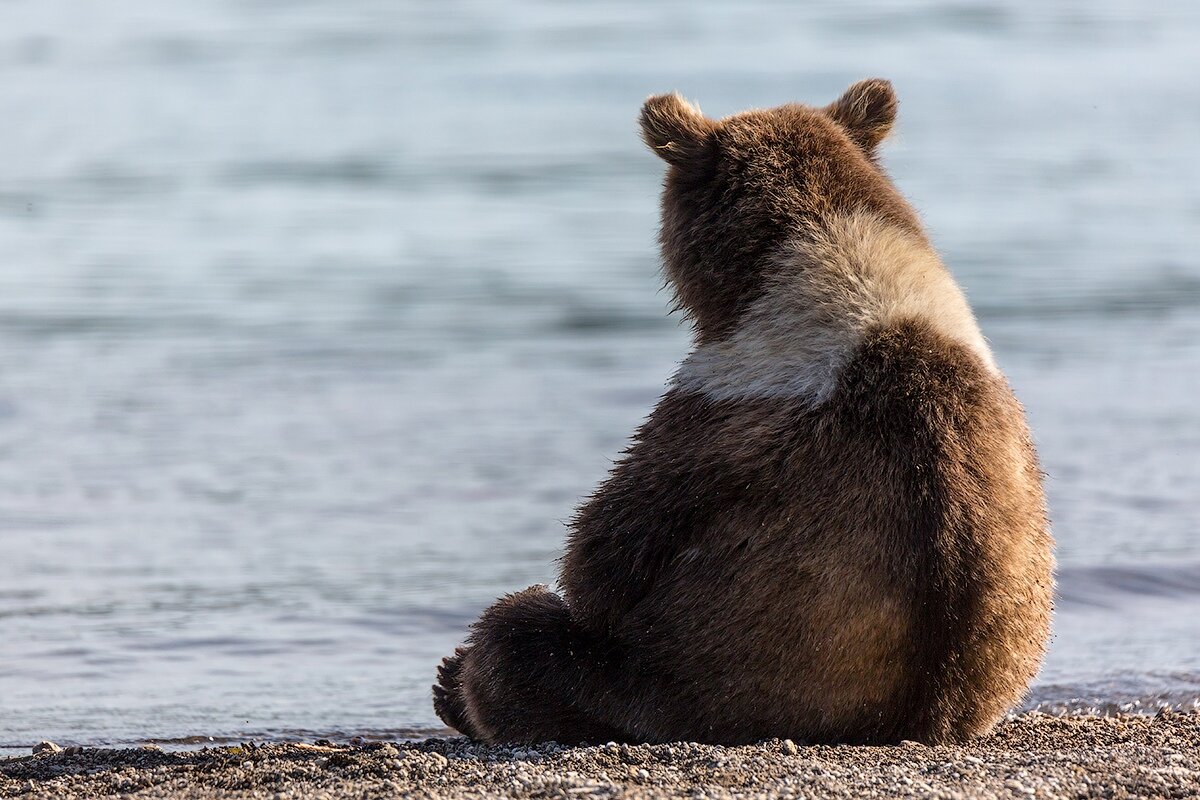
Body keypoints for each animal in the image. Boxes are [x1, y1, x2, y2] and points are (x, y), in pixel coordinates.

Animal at [432, 77, 1051, 748]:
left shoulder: (714, 412)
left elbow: (600, 559)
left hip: (678, 687)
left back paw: (456, 683)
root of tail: (916, 720)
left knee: (519, 644)